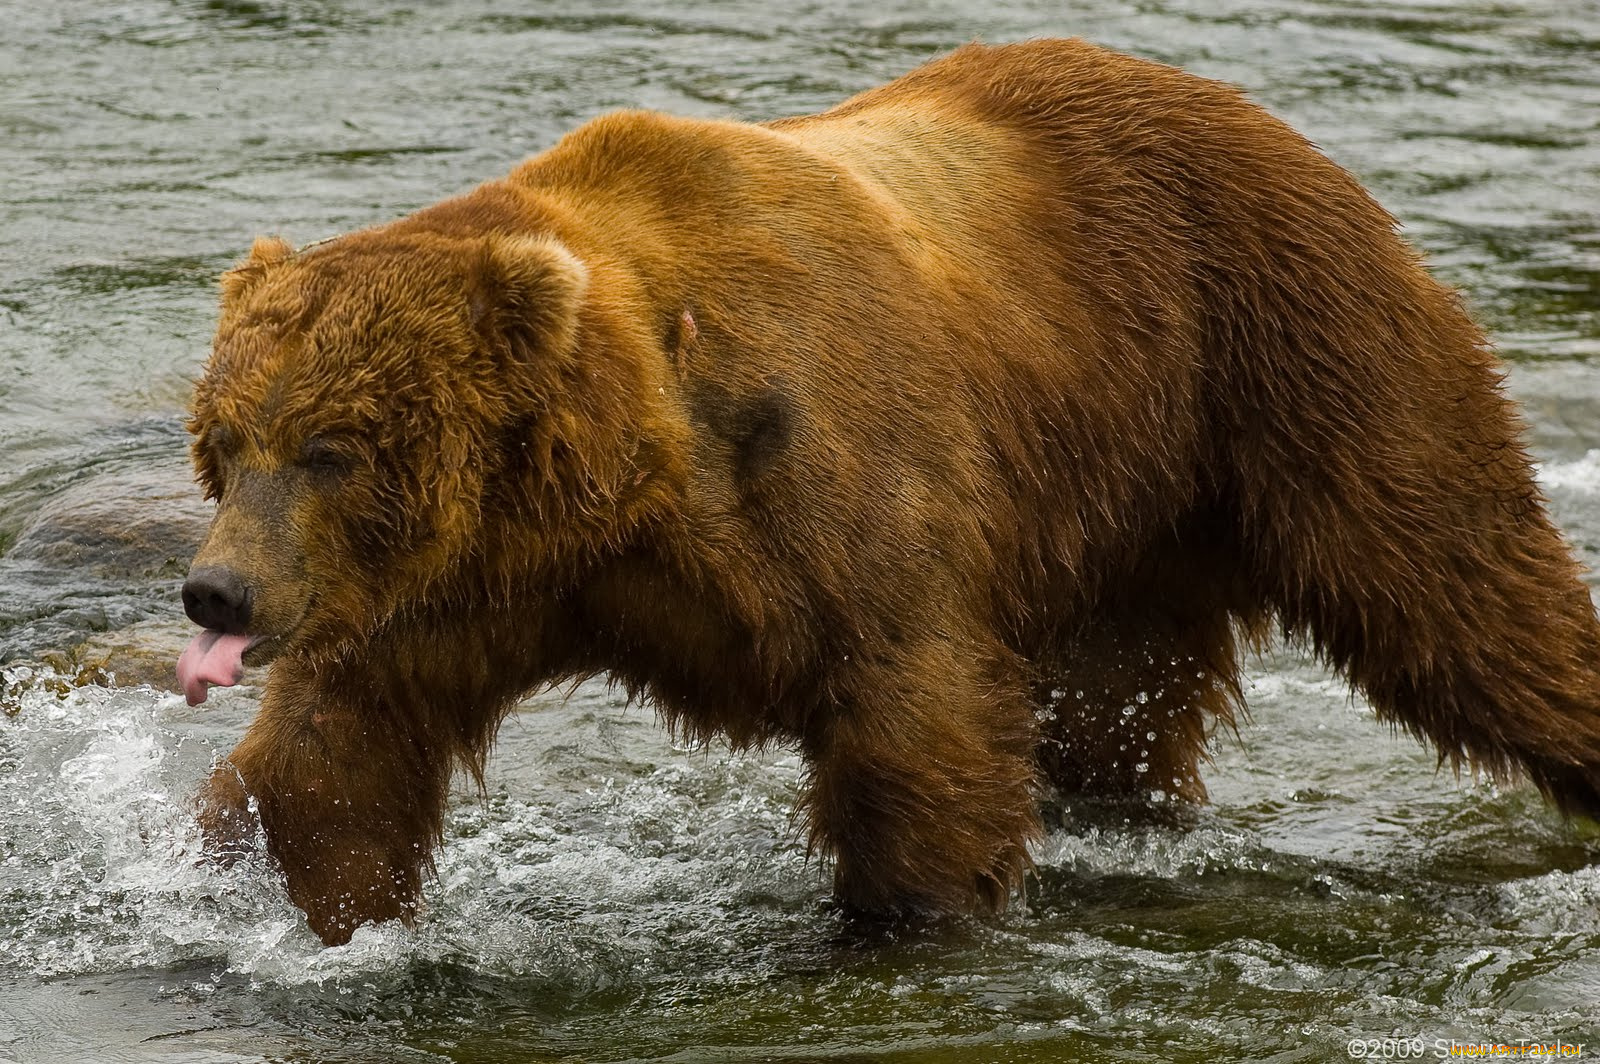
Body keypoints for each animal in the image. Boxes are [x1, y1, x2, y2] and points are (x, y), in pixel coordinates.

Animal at [175, 39, 1600, 947]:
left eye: (334, 444)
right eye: (226, 441)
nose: (215, 590)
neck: (632, 466)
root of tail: (1254, 116)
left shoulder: (826, 486)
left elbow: (915, 716)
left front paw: (904, 915)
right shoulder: (461, 582)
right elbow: (339, 752)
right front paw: (314, 911)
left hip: (1287, 353)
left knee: (1458, 584)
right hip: (1117, 501)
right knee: (1116, 703)